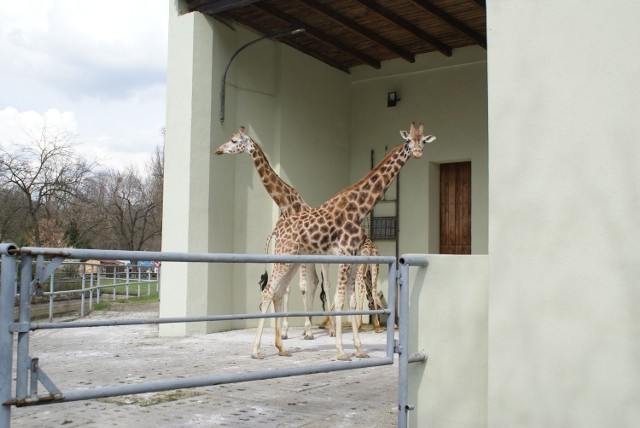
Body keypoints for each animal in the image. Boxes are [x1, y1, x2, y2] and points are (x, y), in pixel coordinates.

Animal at [251, 122, 436, 360]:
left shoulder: (354, 257)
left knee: (277, 292)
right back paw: (257, 351)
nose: (418, 152)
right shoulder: (345, 254)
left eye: (423, 140)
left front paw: (359, 349)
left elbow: (351, 301)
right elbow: (340, 300)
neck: (358, 208)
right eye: (408, 141)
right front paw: (341, 351)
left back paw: (280, 348)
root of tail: (276, 230)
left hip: (291, 260)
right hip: (284, 257)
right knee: (268, 291)